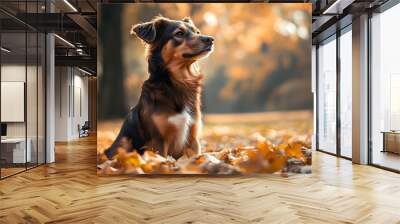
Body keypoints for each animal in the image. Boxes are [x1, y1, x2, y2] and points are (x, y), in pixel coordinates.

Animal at [104, 15, 214, 160]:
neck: (180, 81)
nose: (210, 39)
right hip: (124, 142)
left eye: (197, 32)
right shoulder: (158, 141)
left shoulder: (193, 140)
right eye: (179, 33)